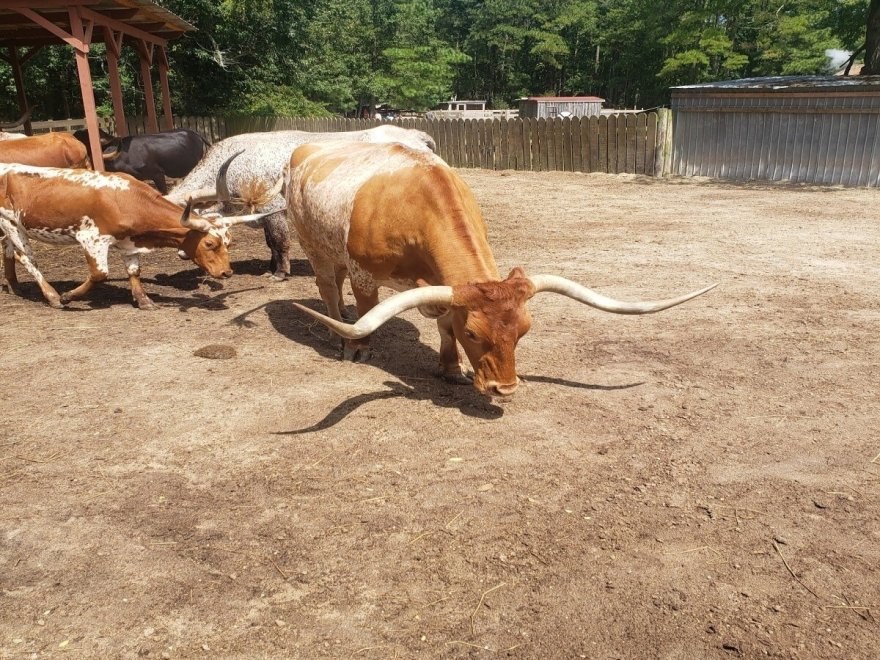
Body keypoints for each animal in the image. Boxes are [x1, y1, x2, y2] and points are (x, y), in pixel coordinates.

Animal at [1, 164, 266, 310]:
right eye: (210, 243)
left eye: (230, 243)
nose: (227, 272)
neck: (125, 198)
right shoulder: (91, 239)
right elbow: (100, 274)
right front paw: (68, 296)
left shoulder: (129, 243)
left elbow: (134, 271)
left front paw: (143, 300)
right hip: (13, 224)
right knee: (28, 259)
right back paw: (52, 296)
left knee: (8, 251)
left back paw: (14, 287)